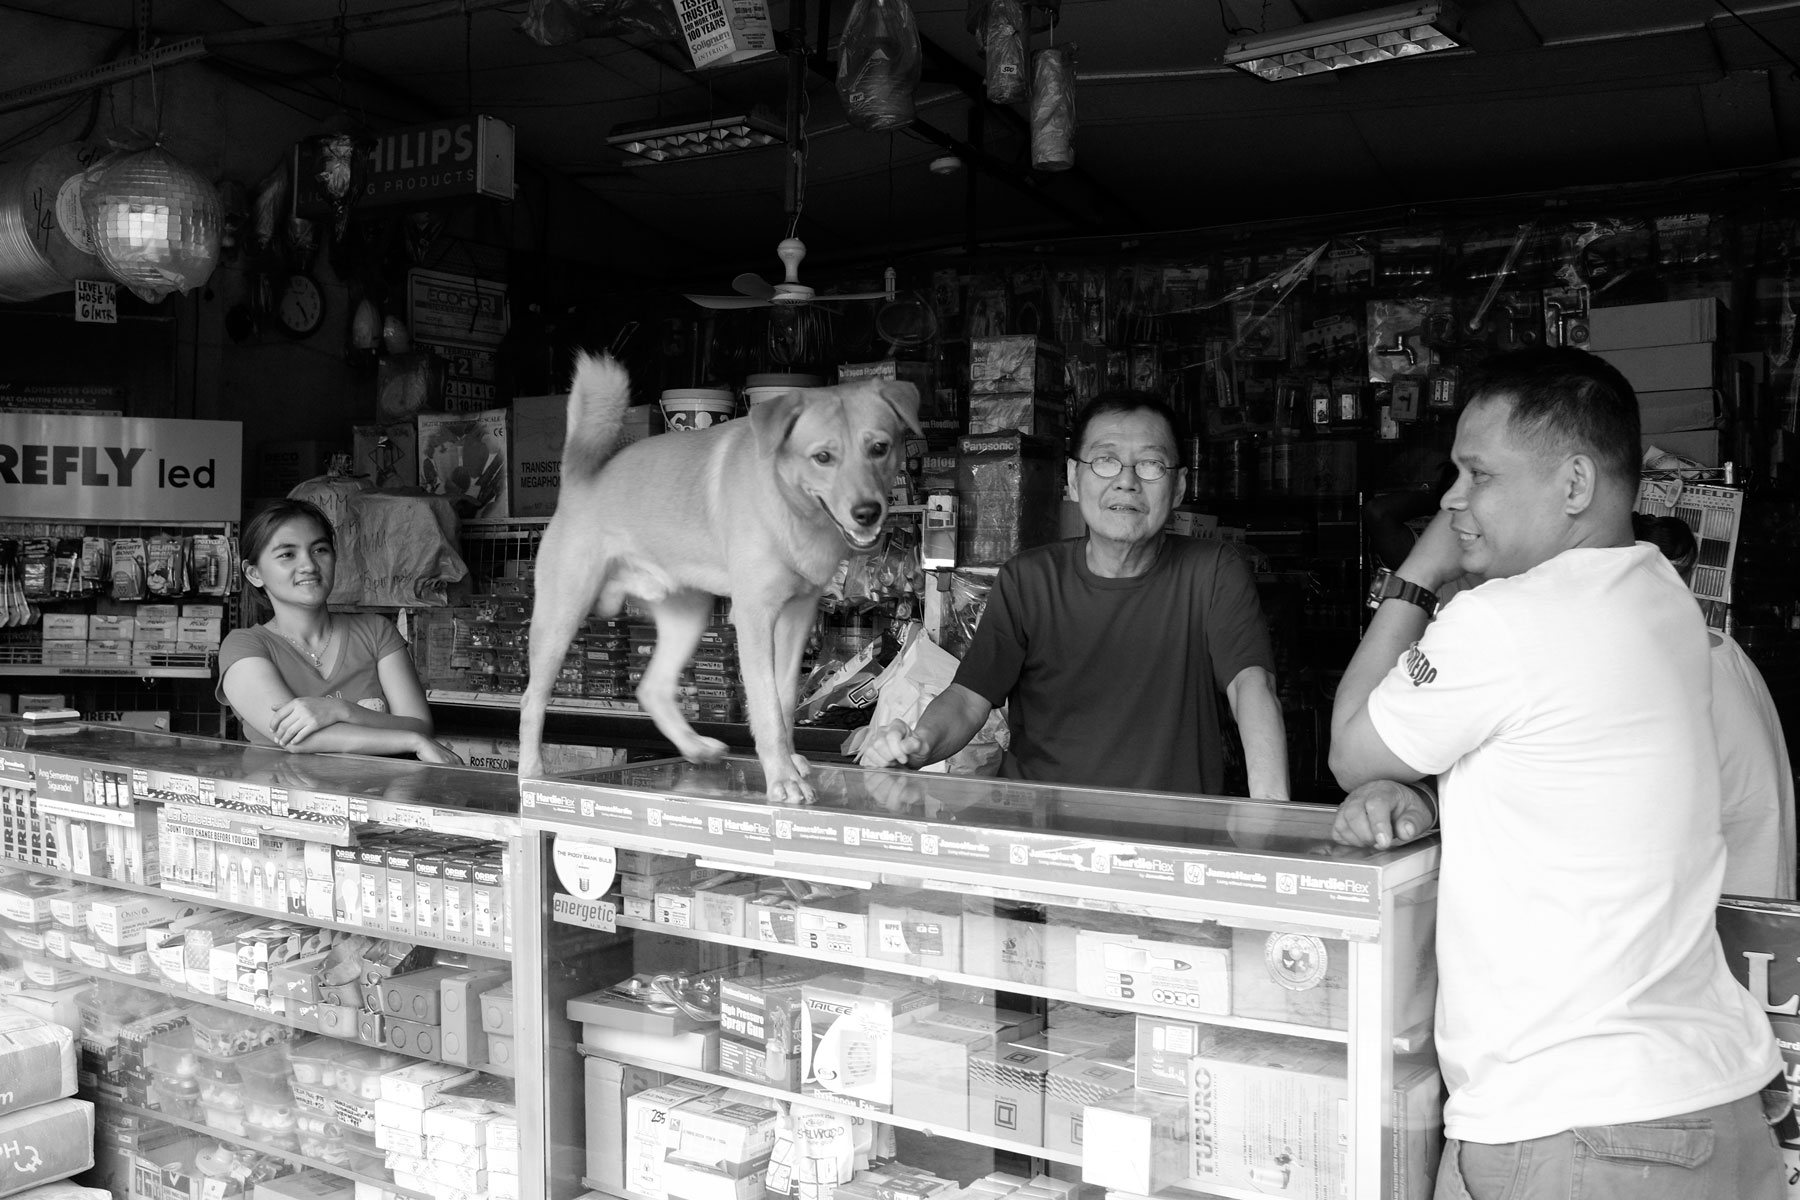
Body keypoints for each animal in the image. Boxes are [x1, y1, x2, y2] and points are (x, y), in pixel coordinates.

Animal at [518, 352, 914, 802]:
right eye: (823, 457)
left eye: (879, 448)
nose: (867, 512)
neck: (788, 504)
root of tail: (578, 480)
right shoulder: (755, 616)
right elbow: (766, 704)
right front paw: (781, 776)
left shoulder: (797, 616)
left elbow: (783, 697)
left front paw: (787, 762)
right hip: (561, 615)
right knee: (531, 700)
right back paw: (531, 771)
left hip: (688, 615)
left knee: (652, 688)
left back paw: (694, 747)